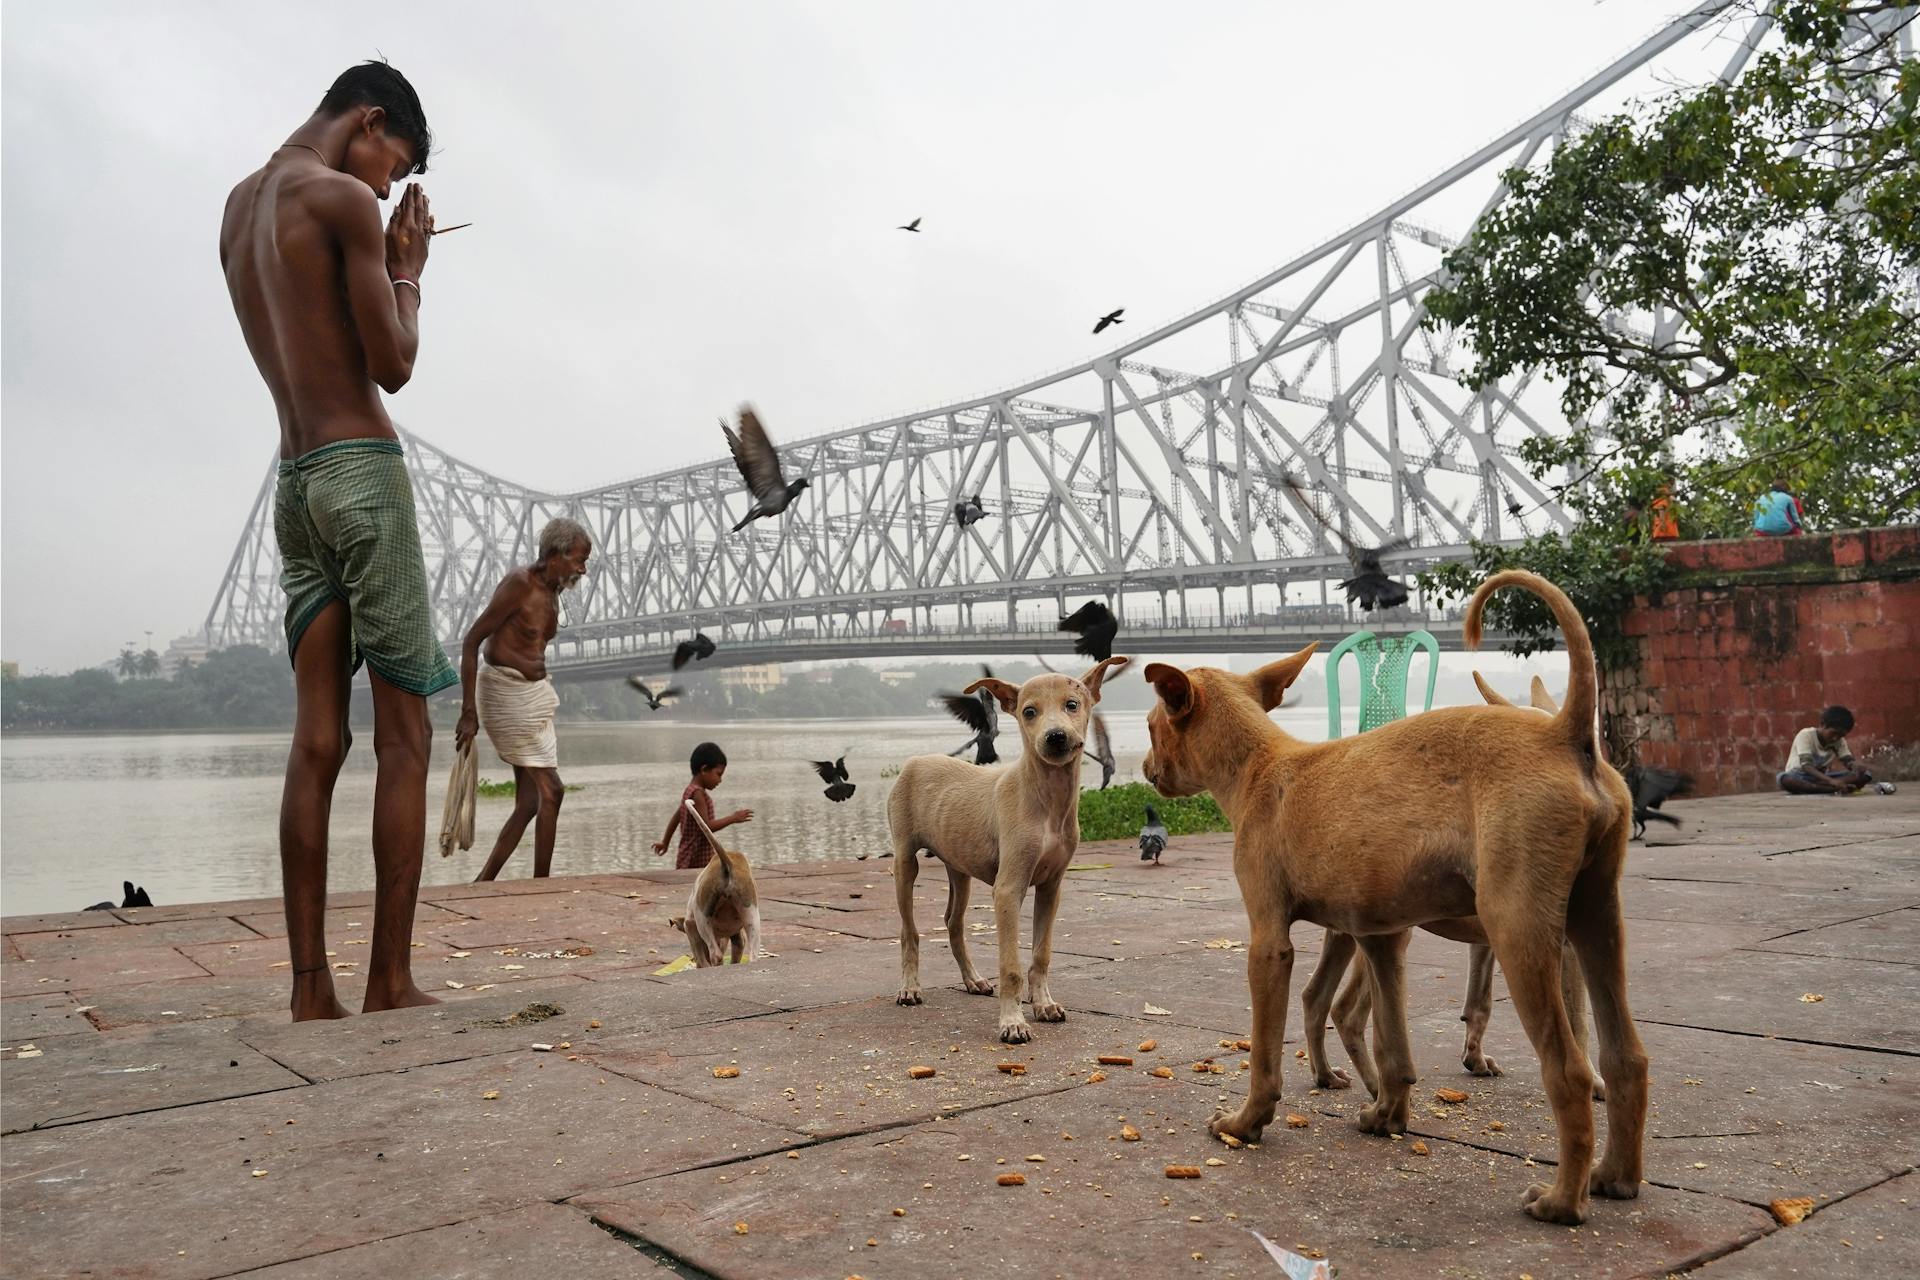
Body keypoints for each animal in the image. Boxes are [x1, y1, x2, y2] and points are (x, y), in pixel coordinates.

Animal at [672, 802, 760, 971]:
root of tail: (727, 864)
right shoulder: (736, 935)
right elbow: (738, 945)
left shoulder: (690, 925)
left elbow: (698, 950)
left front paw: (700, 964)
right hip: (750, 910)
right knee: (753, 951)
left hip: (702, 917)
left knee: (716, 954)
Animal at [890, 660, 1128, 1043]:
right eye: (1028, 712)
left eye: (1072, 704)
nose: (1055, 737)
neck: (1046, 801)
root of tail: (916, 760)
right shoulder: (1008, 889)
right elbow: (1011, 966)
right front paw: (1012, 1022)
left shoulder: (1051, 887)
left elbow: (1041, 955)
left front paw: (1044, 1004)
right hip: (904, 861)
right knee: (908, 931)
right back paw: (910, 988)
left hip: (959, 866)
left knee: (953, 922)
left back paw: (973, 980)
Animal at [1136, 571, 1651, 1228]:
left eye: (1151, 727)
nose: (1145, 768)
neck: (1260, 767)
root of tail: (1566, 732)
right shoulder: (1380, 938)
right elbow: (1393, 1048)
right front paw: (1387, 1115)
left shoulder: (1269, 942)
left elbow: (1267, 1053)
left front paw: (1246, 1122)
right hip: (1596, 919)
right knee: (1625, 1056)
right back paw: (1615, 1177)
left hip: (1520, 928)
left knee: (1569, 1068)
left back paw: (1564, 1200)